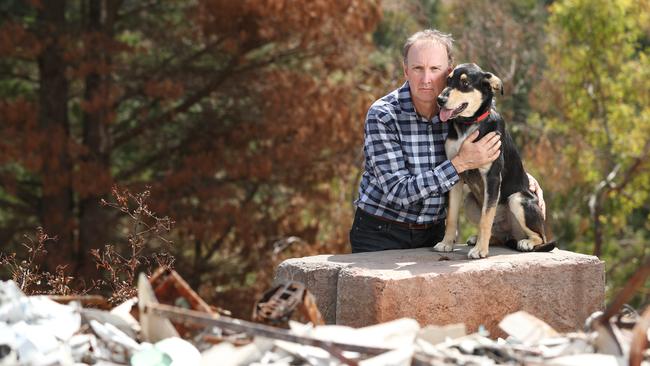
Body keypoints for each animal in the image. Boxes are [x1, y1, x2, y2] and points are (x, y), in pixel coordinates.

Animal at [430, 62, 552, 258]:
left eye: (465, 84)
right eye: (448, 80)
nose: (439, 100)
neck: (469, 125)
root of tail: (510, 234)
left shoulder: (492, 177)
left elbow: (485, 219)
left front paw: (480, 251)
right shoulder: (456, 175)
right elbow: (452, 216)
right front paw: (446, 243)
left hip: (518, 199)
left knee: (541, 237)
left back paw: (526, 242)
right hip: (470, 201)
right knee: (498, 234)